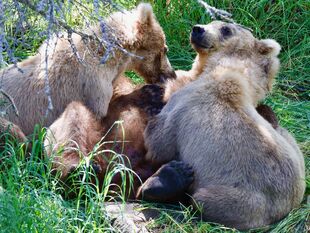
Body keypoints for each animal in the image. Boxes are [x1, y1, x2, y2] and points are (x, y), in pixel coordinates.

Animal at [140, 21, 306, 229]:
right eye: (212, 22)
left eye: (226, 29)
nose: (197, 29)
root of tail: (286, 210)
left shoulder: (183, 106)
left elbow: (158, 141)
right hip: (295, 153)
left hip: (242, 201)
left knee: (201, 200)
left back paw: (166, 182)